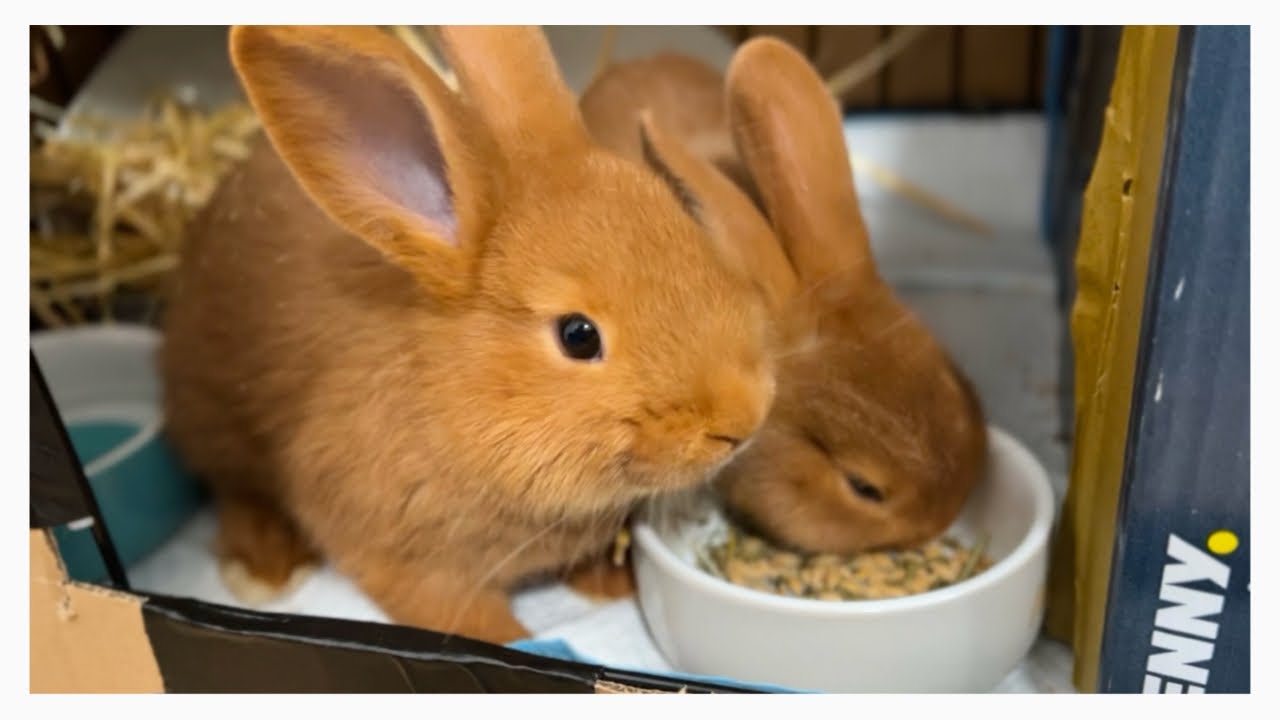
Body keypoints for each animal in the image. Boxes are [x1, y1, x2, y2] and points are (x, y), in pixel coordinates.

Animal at [158, 25, 780, 645]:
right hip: (214, 415)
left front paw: (608, 585)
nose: (744, 418)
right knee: (233, 487)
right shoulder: (400, 552)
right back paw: (262, 570)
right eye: (579, 336)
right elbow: (456, 613)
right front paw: (516, 639)